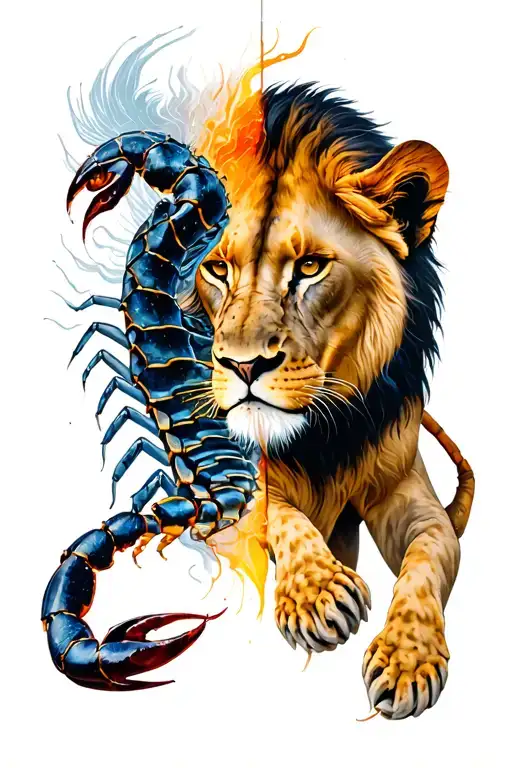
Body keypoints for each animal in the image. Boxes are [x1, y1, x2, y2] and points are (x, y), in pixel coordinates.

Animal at [190, 72, 474, 719]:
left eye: (310, 267)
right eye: (217, 269)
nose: (243, 364)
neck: (322, 432)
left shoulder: (406, 492)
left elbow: (431, 553)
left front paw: (408, 659)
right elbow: (276, 511)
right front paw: (318, 595)